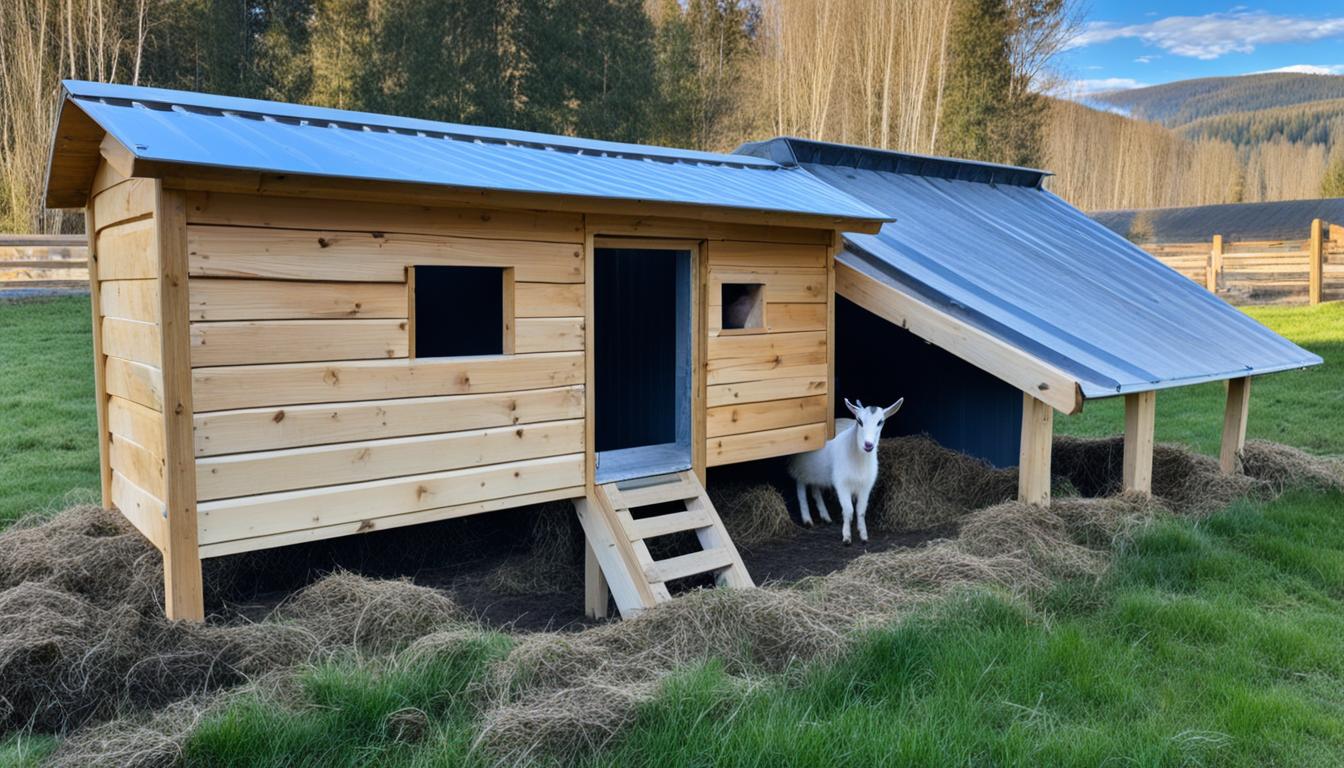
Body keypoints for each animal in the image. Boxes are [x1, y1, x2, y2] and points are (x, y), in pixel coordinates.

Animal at [784, 400, 903, 543]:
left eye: (880, 422)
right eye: (859, 421)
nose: (868, 445)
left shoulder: (866, 485)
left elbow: (861, 510)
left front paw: (863, 535)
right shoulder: (842, 483)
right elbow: (848, 510)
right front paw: (846, 536)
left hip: (817, 471)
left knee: (815, 490)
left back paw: (825, 517)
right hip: (800, 467)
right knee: (801, 490)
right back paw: (807, 519)